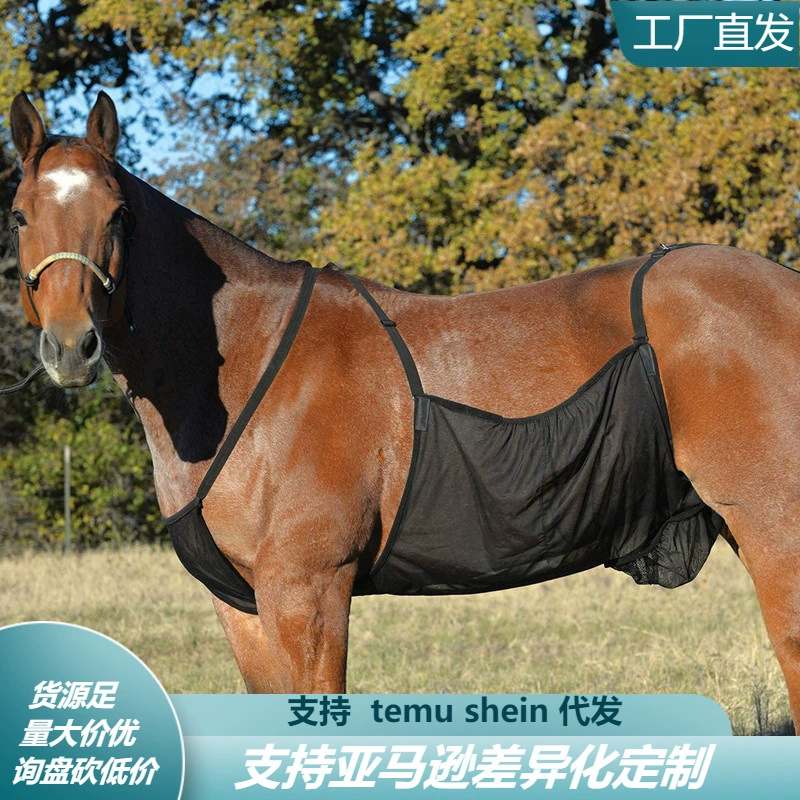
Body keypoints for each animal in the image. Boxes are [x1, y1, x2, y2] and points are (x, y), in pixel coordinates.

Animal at [8, 91, 800, 731]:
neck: (241, 367)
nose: (72, 346)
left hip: (773, 530)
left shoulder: (309, 591)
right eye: (18, 215)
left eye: (118, 214)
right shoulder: (243, 606)